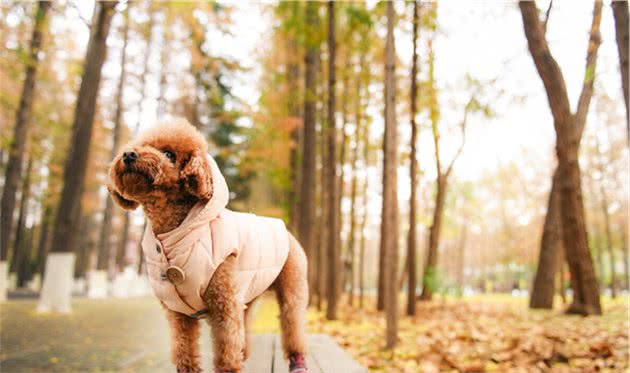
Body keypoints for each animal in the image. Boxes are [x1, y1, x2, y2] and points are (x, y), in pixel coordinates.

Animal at [109, 120, 312, 372]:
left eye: (169, 154)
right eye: (143, 145)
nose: (128, 154)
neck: (175, 233)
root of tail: (285, 229)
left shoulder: (223, 303)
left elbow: (226, 352)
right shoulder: (178, 312)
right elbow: (184, 349)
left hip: (291, 289)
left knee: (293, 325)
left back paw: (298, 361)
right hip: (247, 294)